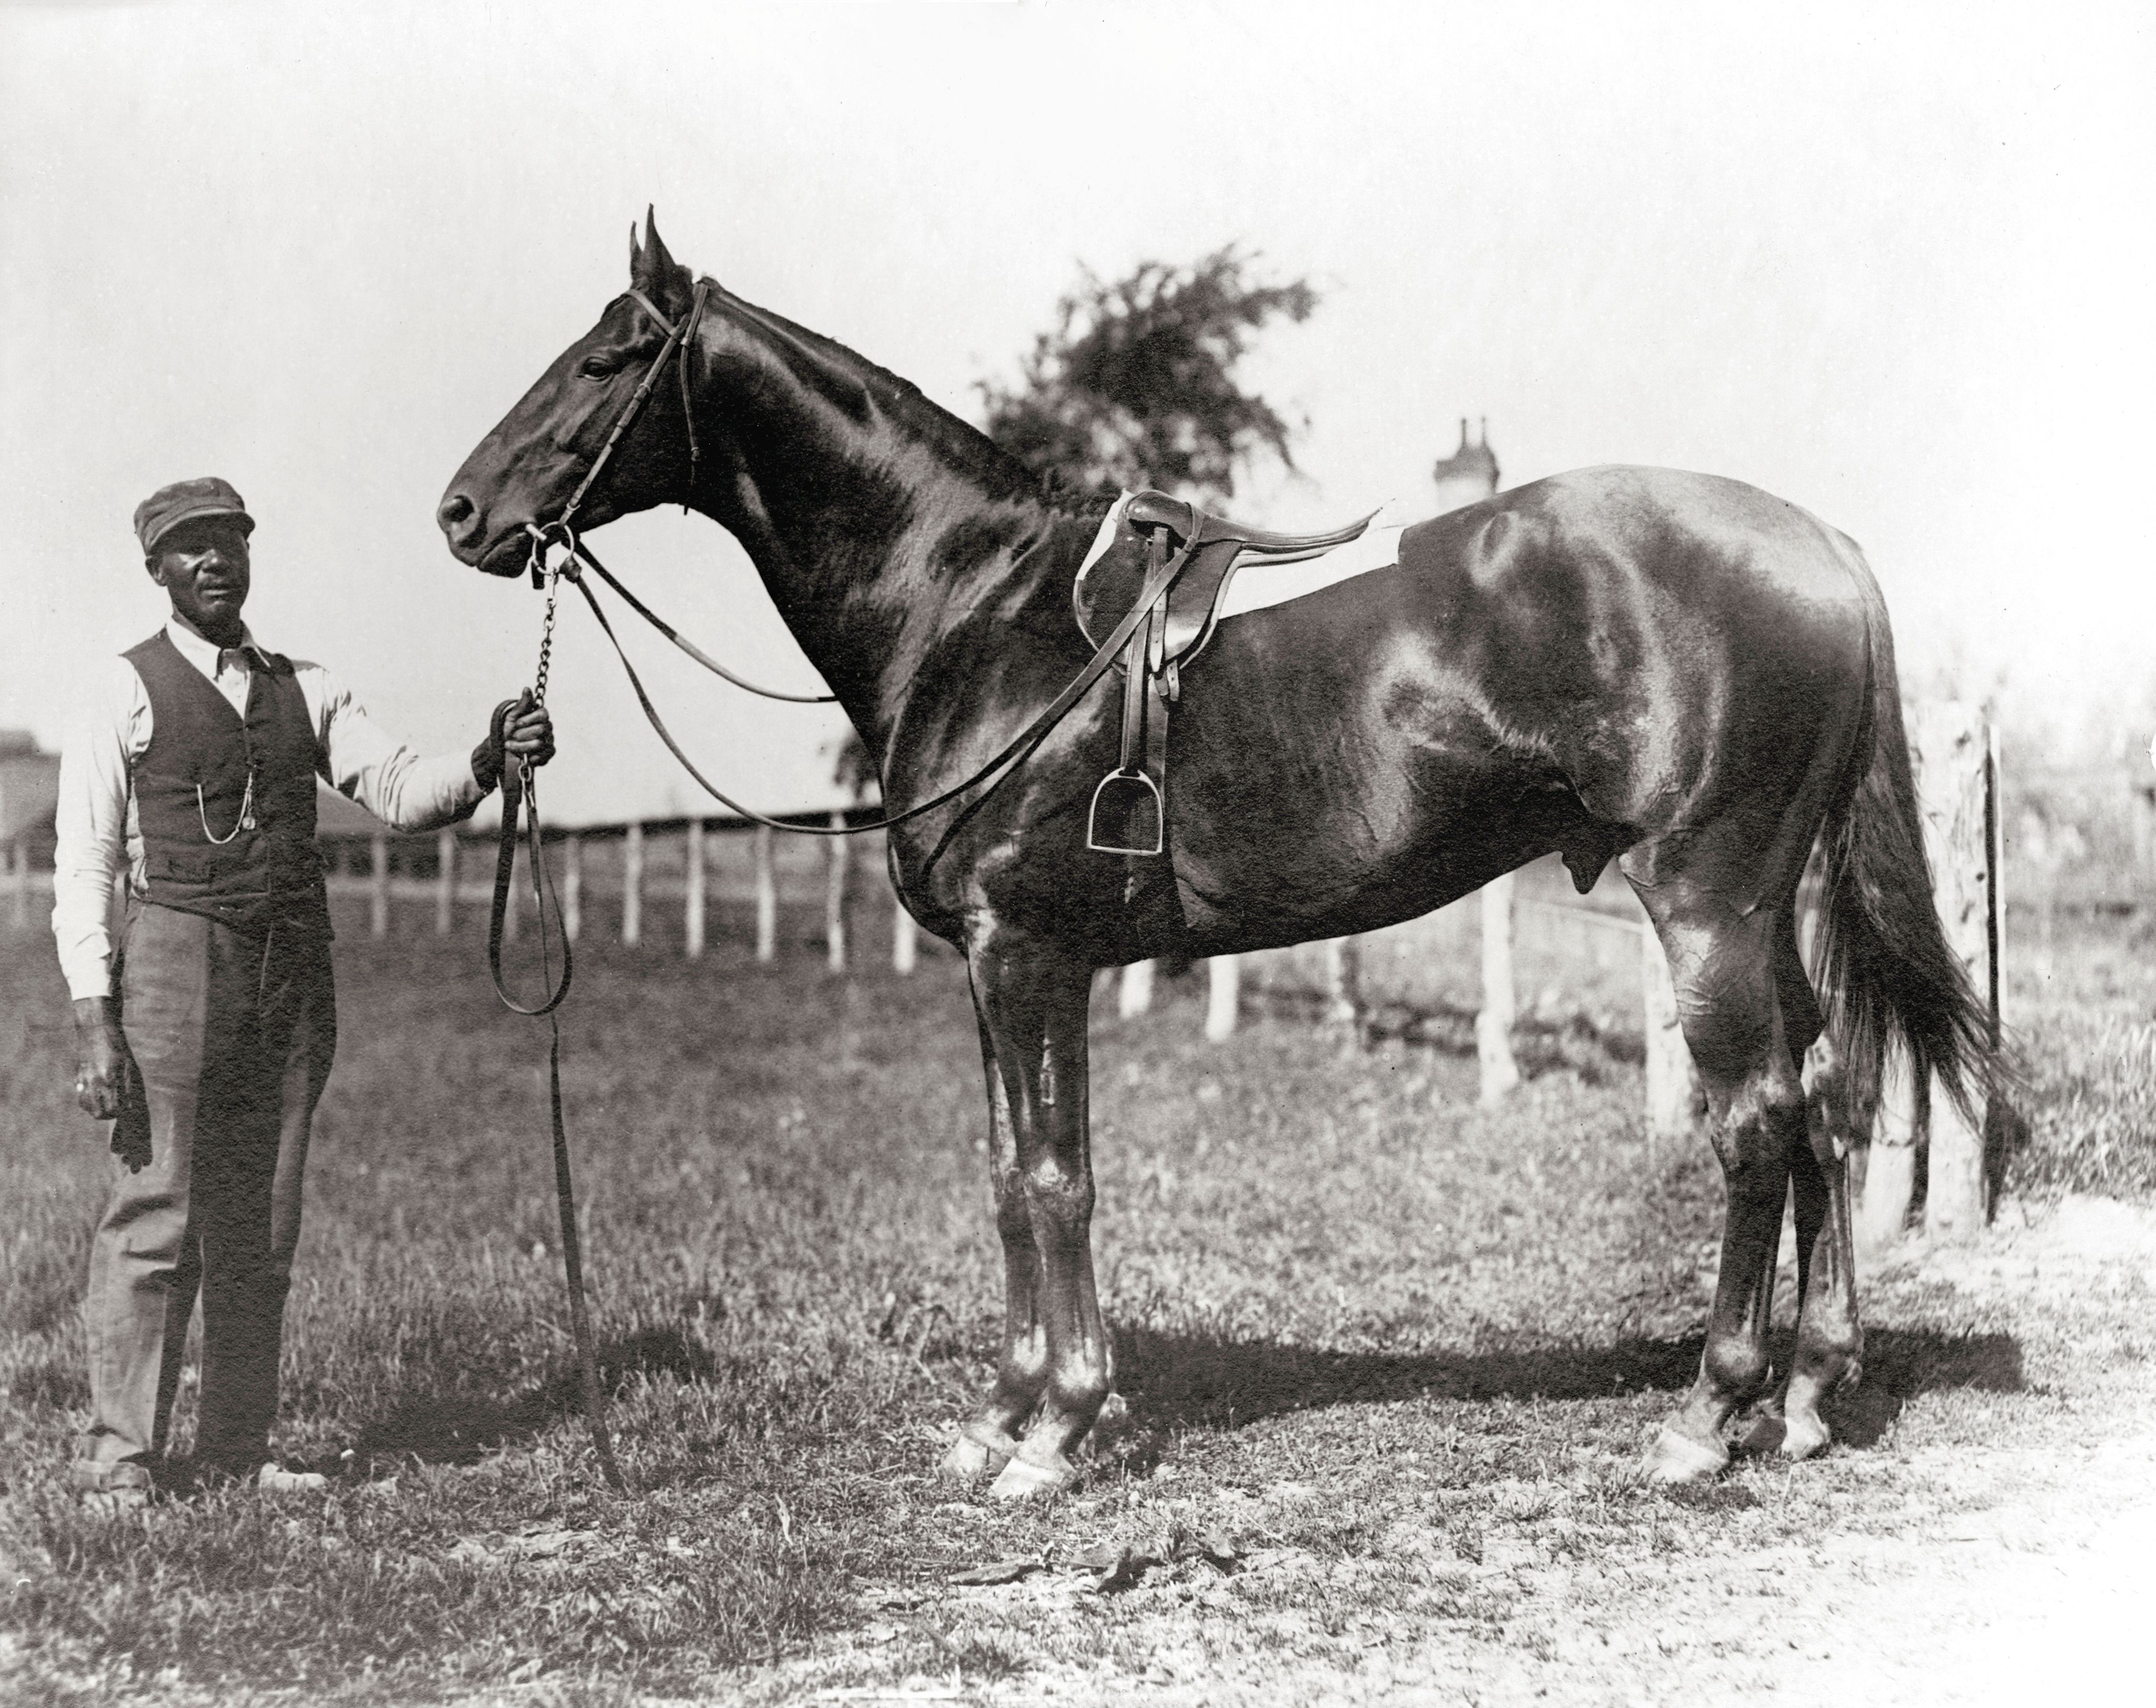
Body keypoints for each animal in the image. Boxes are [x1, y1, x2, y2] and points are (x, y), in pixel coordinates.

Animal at [442, 214, 2000, 1492]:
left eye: (606, 360)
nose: (461, 512)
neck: (974, 609)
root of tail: (1817, 545)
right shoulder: (1010, 968)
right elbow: (1011, 1173)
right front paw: (1012, 1420)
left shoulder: (1024, 955)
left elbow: (1050, 1179)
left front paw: (1053, 1432)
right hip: (1761, 907)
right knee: (1823, 1103)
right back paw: (1805, 1396)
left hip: (1704, 904)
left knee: (1755, 1122)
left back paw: (1703, 1419)